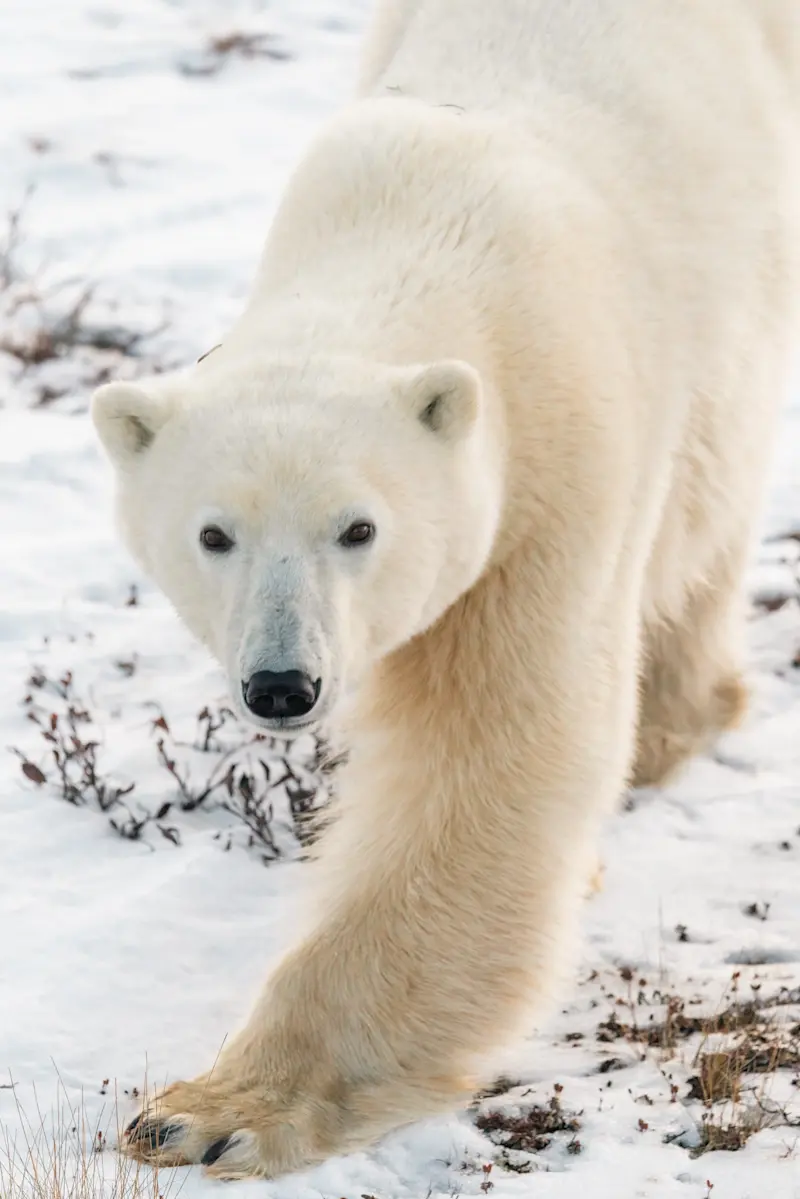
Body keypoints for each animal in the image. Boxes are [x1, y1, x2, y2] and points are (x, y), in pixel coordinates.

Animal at [91, 0, 800, 1180]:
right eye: (214, 533)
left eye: (359, 526)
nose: (282, 685)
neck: (423, 221)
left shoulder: (553, 466)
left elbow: (492, 759)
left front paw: (210, 1109)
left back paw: (673, 714)